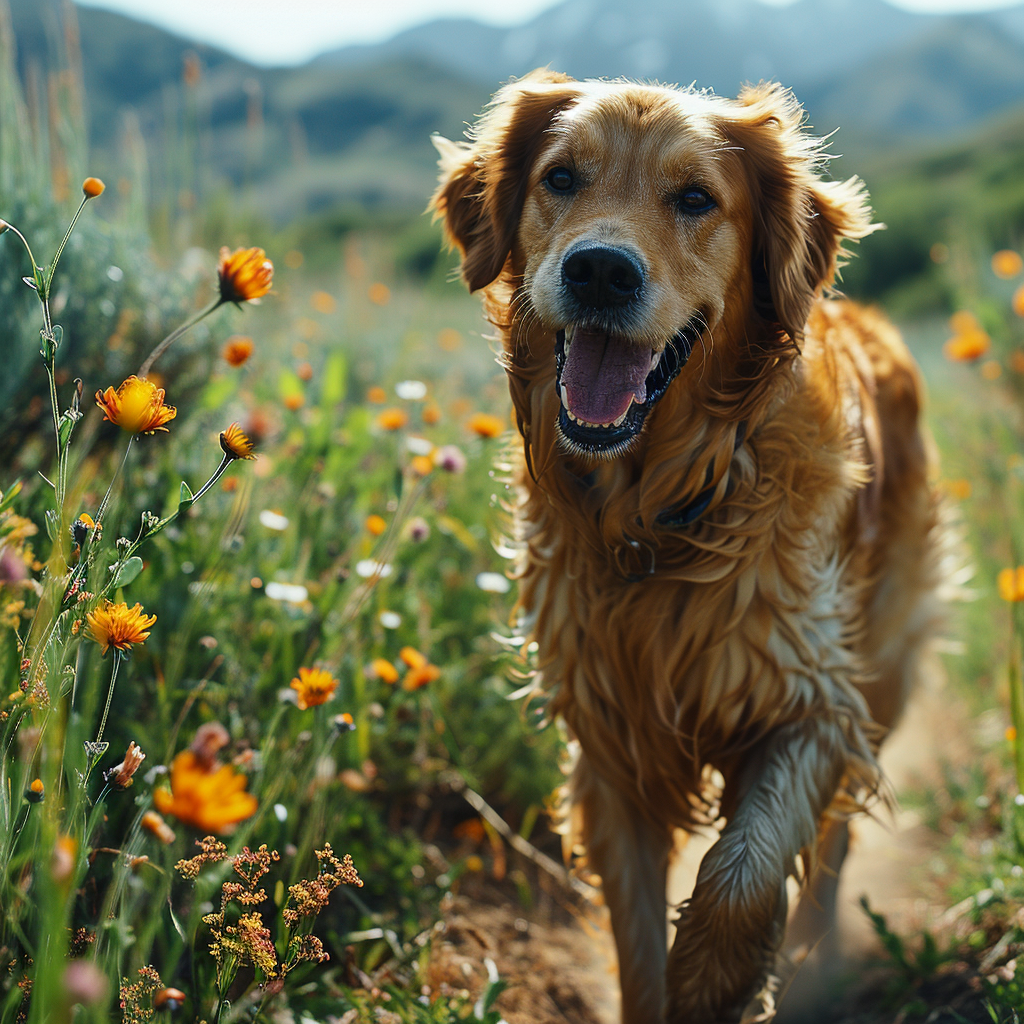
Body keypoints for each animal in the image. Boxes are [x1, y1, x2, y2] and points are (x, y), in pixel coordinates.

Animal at [430, 72, 942, 1024]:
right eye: (562, 178)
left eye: (697, 198)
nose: (599, 270)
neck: (654, 517)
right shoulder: (610, 741)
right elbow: (635, 939)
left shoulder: (813, 701)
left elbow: (744, 875)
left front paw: (715, 981)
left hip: (884, 665)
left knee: (836, 840)